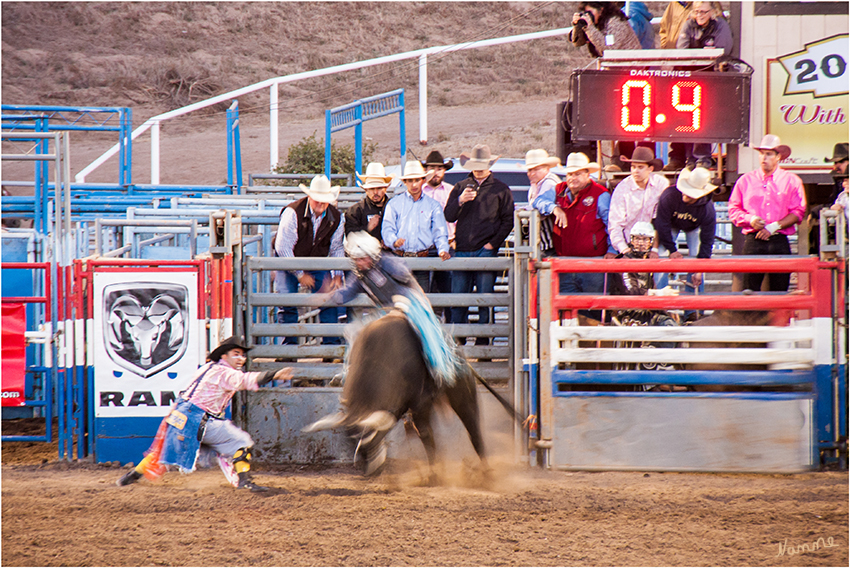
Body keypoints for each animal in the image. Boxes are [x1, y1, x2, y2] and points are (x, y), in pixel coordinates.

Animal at [304, 312, 504, 482]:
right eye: (352, 441)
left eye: (372, 435)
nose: (370, 470)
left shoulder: (420, 403)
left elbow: (425, 434)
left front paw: (434, 474)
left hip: (462, 393)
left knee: (473, 427)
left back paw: (486, 471)